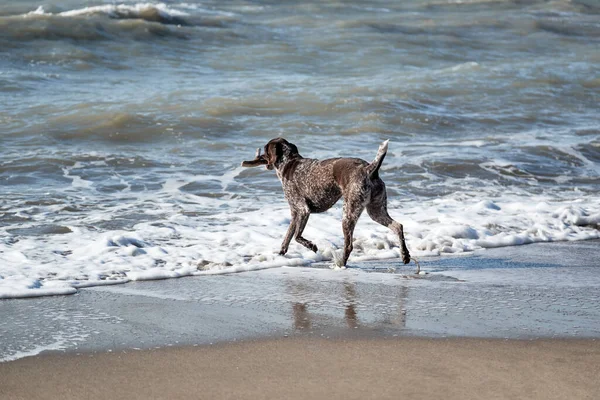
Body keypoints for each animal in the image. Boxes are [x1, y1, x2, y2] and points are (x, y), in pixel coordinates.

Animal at [241, 139, 410, 268]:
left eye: (265, 149)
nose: (260, 156)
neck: (289, 162)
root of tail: (369, 169)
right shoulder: (295, 213)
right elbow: (287, 237)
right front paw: (280, 254)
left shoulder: (303, 210)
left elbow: (296, 236)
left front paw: (312, 246)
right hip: (376, 211)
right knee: (398, 226)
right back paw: (405, 255)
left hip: (349, 213)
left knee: (349, 245)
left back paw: (341, 264)